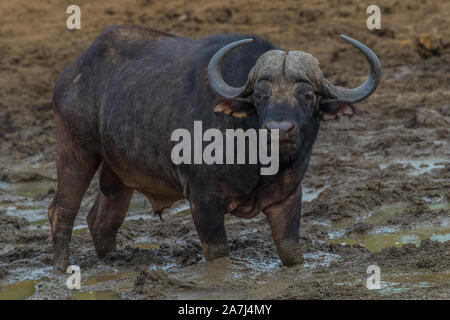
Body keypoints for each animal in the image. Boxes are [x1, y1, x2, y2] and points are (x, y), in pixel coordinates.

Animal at [48, 25, 380, 270]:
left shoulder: (288, 196)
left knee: (101, 221)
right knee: (61, 210)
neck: (257, 159)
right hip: (76, 149)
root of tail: (71, 73)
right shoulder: (203, 199)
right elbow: (219, 254)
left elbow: (290, 252)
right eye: (260, 95)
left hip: (118, 173)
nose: (279, 130)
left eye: (308, 96)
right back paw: (62, 269)